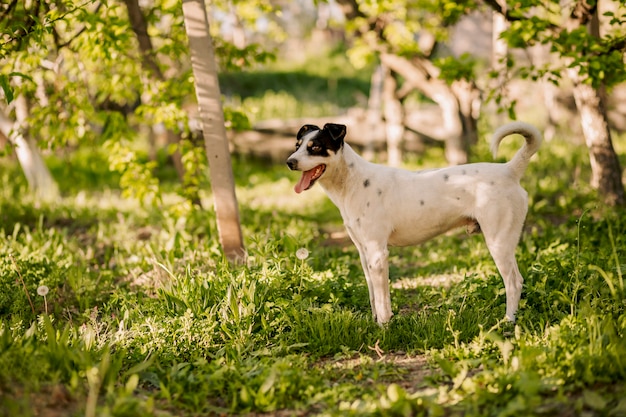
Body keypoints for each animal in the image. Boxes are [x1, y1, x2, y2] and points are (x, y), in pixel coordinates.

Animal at [286, 122, 540, 324]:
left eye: (315, 147)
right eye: (297, 145)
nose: (289, 162)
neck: (353, 182)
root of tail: (509, 170)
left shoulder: (378, 252)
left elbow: (382, 298)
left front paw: (384, 326)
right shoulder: (364, 253)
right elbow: (373, 295)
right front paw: (375, 322)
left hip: (499, 242)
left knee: (514, 282)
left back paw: (508, 321)